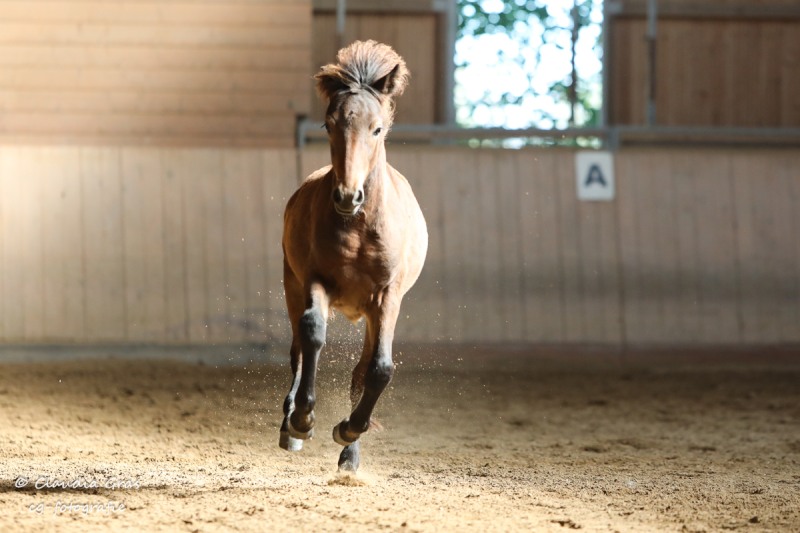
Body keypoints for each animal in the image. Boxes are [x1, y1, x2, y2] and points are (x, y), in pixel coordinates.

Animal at [279, 40, 428, 473]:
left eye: (377, 129)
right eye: (330, 125)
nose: (348, 196)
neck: (360, 228)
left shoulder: (388, 297)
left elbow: (378, 370)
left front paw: (348, 431)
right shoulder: (315, 280)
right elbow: (312, 333)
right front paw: (302, 418)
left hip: (372, 313)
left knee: (361, 370)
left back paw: (350, 455)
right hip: (291, 284)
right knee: (298, 348)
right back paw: (290, 425)